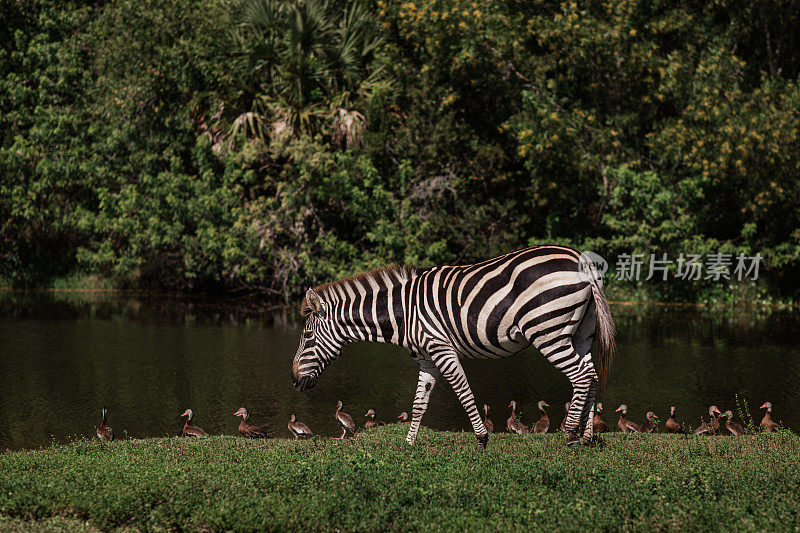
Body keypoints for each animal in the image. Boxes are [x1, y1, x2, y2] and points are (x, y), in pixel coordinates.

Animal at [290, 244, 616, 444]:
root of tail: (581, 260)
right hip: (581, 333)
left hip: (547, 330)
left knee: (580, 376)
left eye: (307, 337)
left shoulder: (441, 348)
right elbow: (419, 403)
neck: (403, 312)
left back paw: (570, 434)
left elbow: (463, 392)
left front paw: (482, 438)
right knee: (591, 374)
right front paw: (408, 444)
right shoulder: (426, 358)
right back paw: (586, 438)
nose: (293, 381)